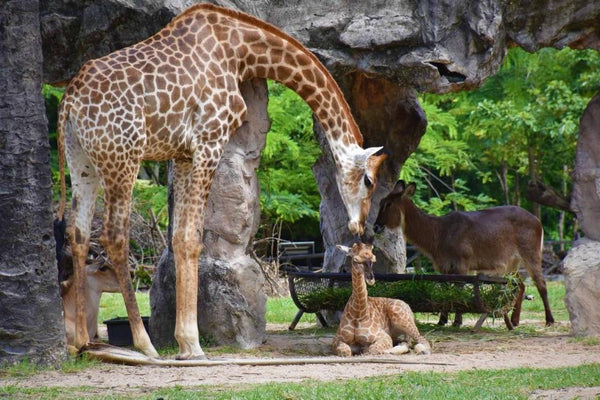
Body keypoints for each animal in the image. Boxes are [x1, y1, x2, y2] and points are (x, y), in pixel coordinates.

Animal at [57, 3, 390, 360]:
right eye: (369, 180)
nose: (361, 228)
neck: (238, 50)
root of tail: (69, 102)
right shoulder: (209, 141)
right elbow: (191, 239)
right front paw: (192, 344)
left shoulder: (183, 154)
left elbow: (179, 238)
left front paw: (185, 342)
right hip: (123, 156)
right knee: (114, 235)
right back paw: (145, 344)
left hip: (83, 160)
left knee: (77, 232)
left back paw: (81, 341)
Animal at [376, 181, 552, 328]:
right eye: (380, 202)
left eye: (388, 204)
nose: (376, 226)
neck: (439, 231)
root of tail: (537, 221)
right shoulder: (444, 267)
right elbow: (445, 289)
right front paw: (442, 320)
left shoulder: (462, 263)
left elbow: (459, 290)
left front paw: (457, 321)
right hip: (512, 262)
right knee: (520, 285)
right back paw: (515, 321)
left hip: (530, 254)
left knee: (541, 284)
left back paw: (549, 320)